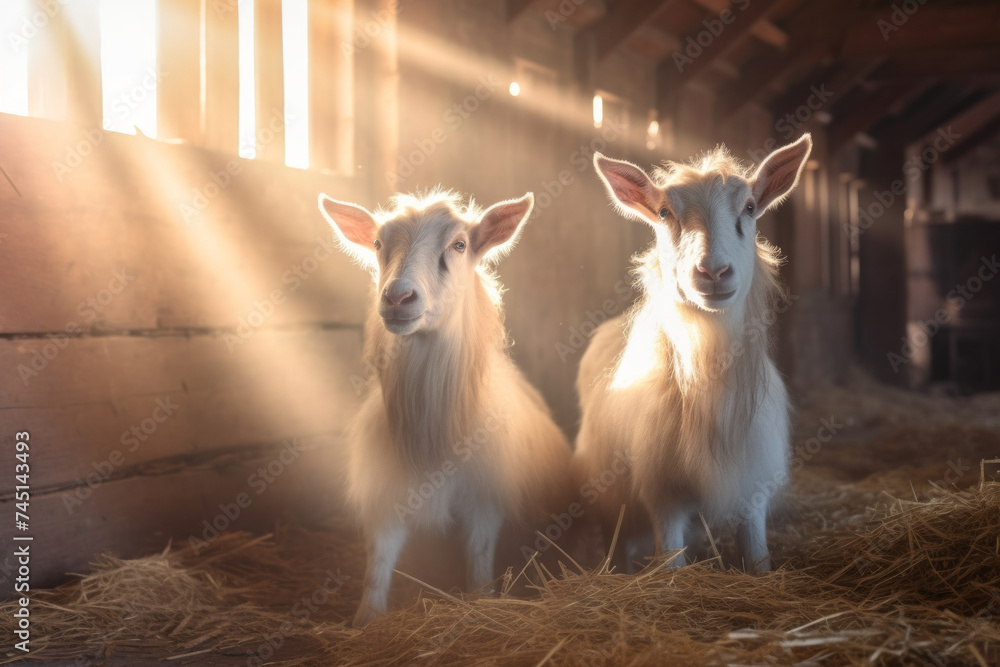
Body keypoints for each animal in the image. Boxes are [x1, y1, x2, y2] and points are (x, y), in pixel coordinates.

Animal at [319, 190, 572, 626]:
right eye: (377, 244)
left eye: (459, 245)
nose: (398, 298)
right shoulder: (386, 492)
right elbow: (378, 562)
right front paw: (366, 619)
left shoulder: (485, 498)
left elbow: (479, 559)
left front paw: (482, 603)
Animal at [573, 135, 813, 574]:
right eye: (664, 212)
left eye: (749, 207)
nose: (714, 272)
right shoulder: (662, 495)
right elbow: (669, 562)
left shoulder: (751, 487)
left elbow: (758, 560)